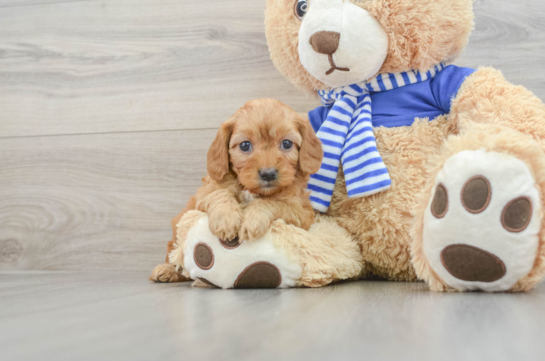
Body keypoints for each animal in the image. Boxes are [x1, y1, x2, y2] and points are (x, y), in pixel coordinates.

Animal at [150, 97, 324, 282]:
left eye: (286, 143)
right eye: (245, 145)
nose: (268, 174)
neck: (251, 190)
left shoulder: (301, 211)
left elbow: (272, 202)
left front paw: (253, 220)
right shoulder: (204, 193)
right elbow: (220, 193)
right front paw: (226, 219)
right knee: (175, 252)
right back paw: (167, 270)